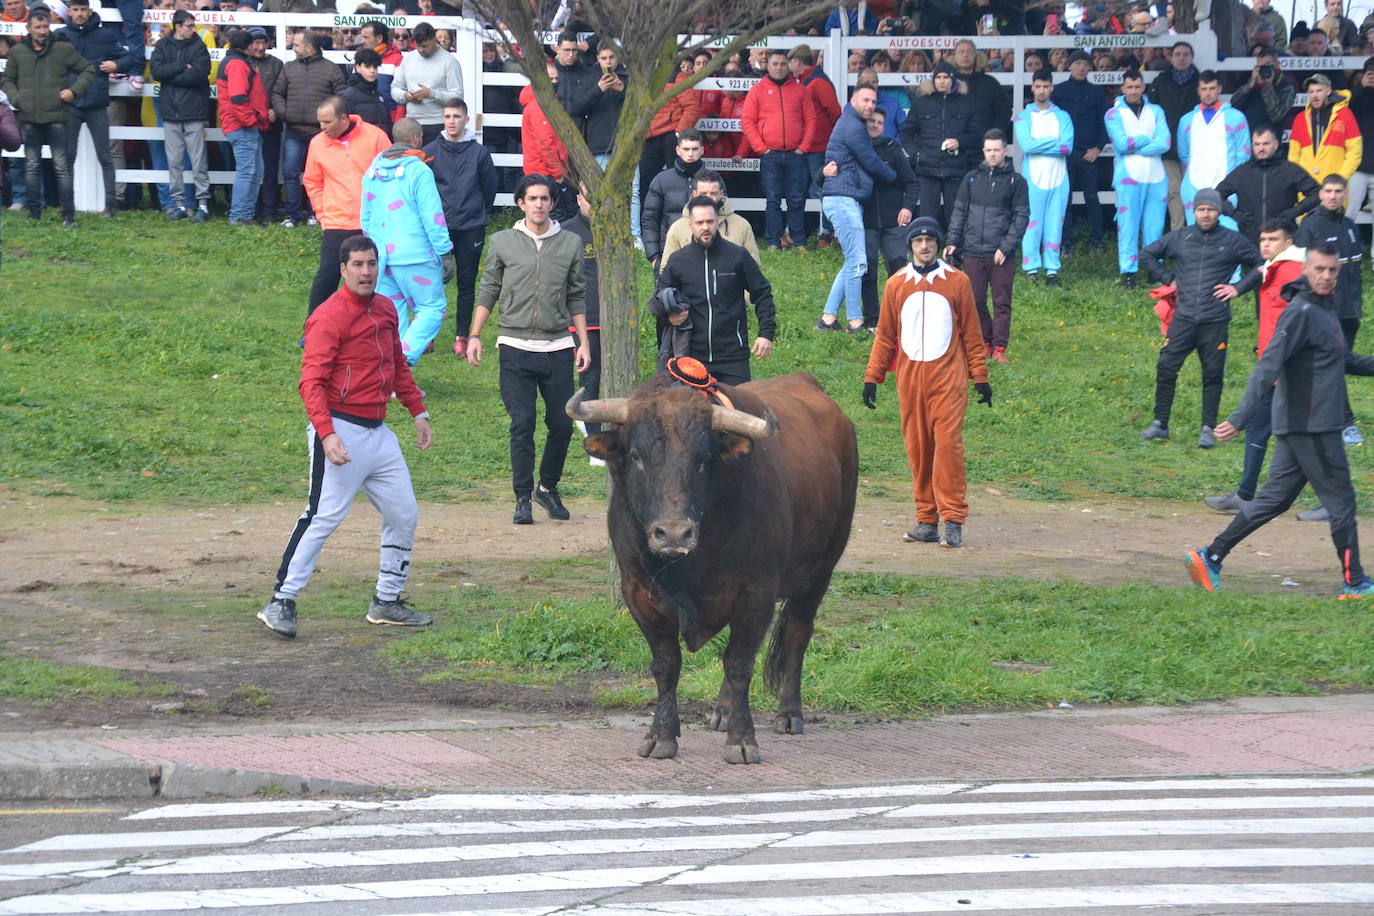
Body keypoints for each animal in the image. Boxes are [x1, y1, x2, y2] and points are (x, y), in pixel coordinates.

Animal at [563, 368, 851, 763]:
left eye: (702, 459)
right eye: (636, 455)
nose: (673, 533)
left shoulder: (756, 593)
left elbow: (740, 663)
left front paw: (741, 740)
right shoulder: (638, 593)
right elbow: (667, 665)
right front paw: (661, 735)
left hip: (820, 571)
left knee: (797, 633)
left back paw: (789, 714)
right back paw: (723, 711)